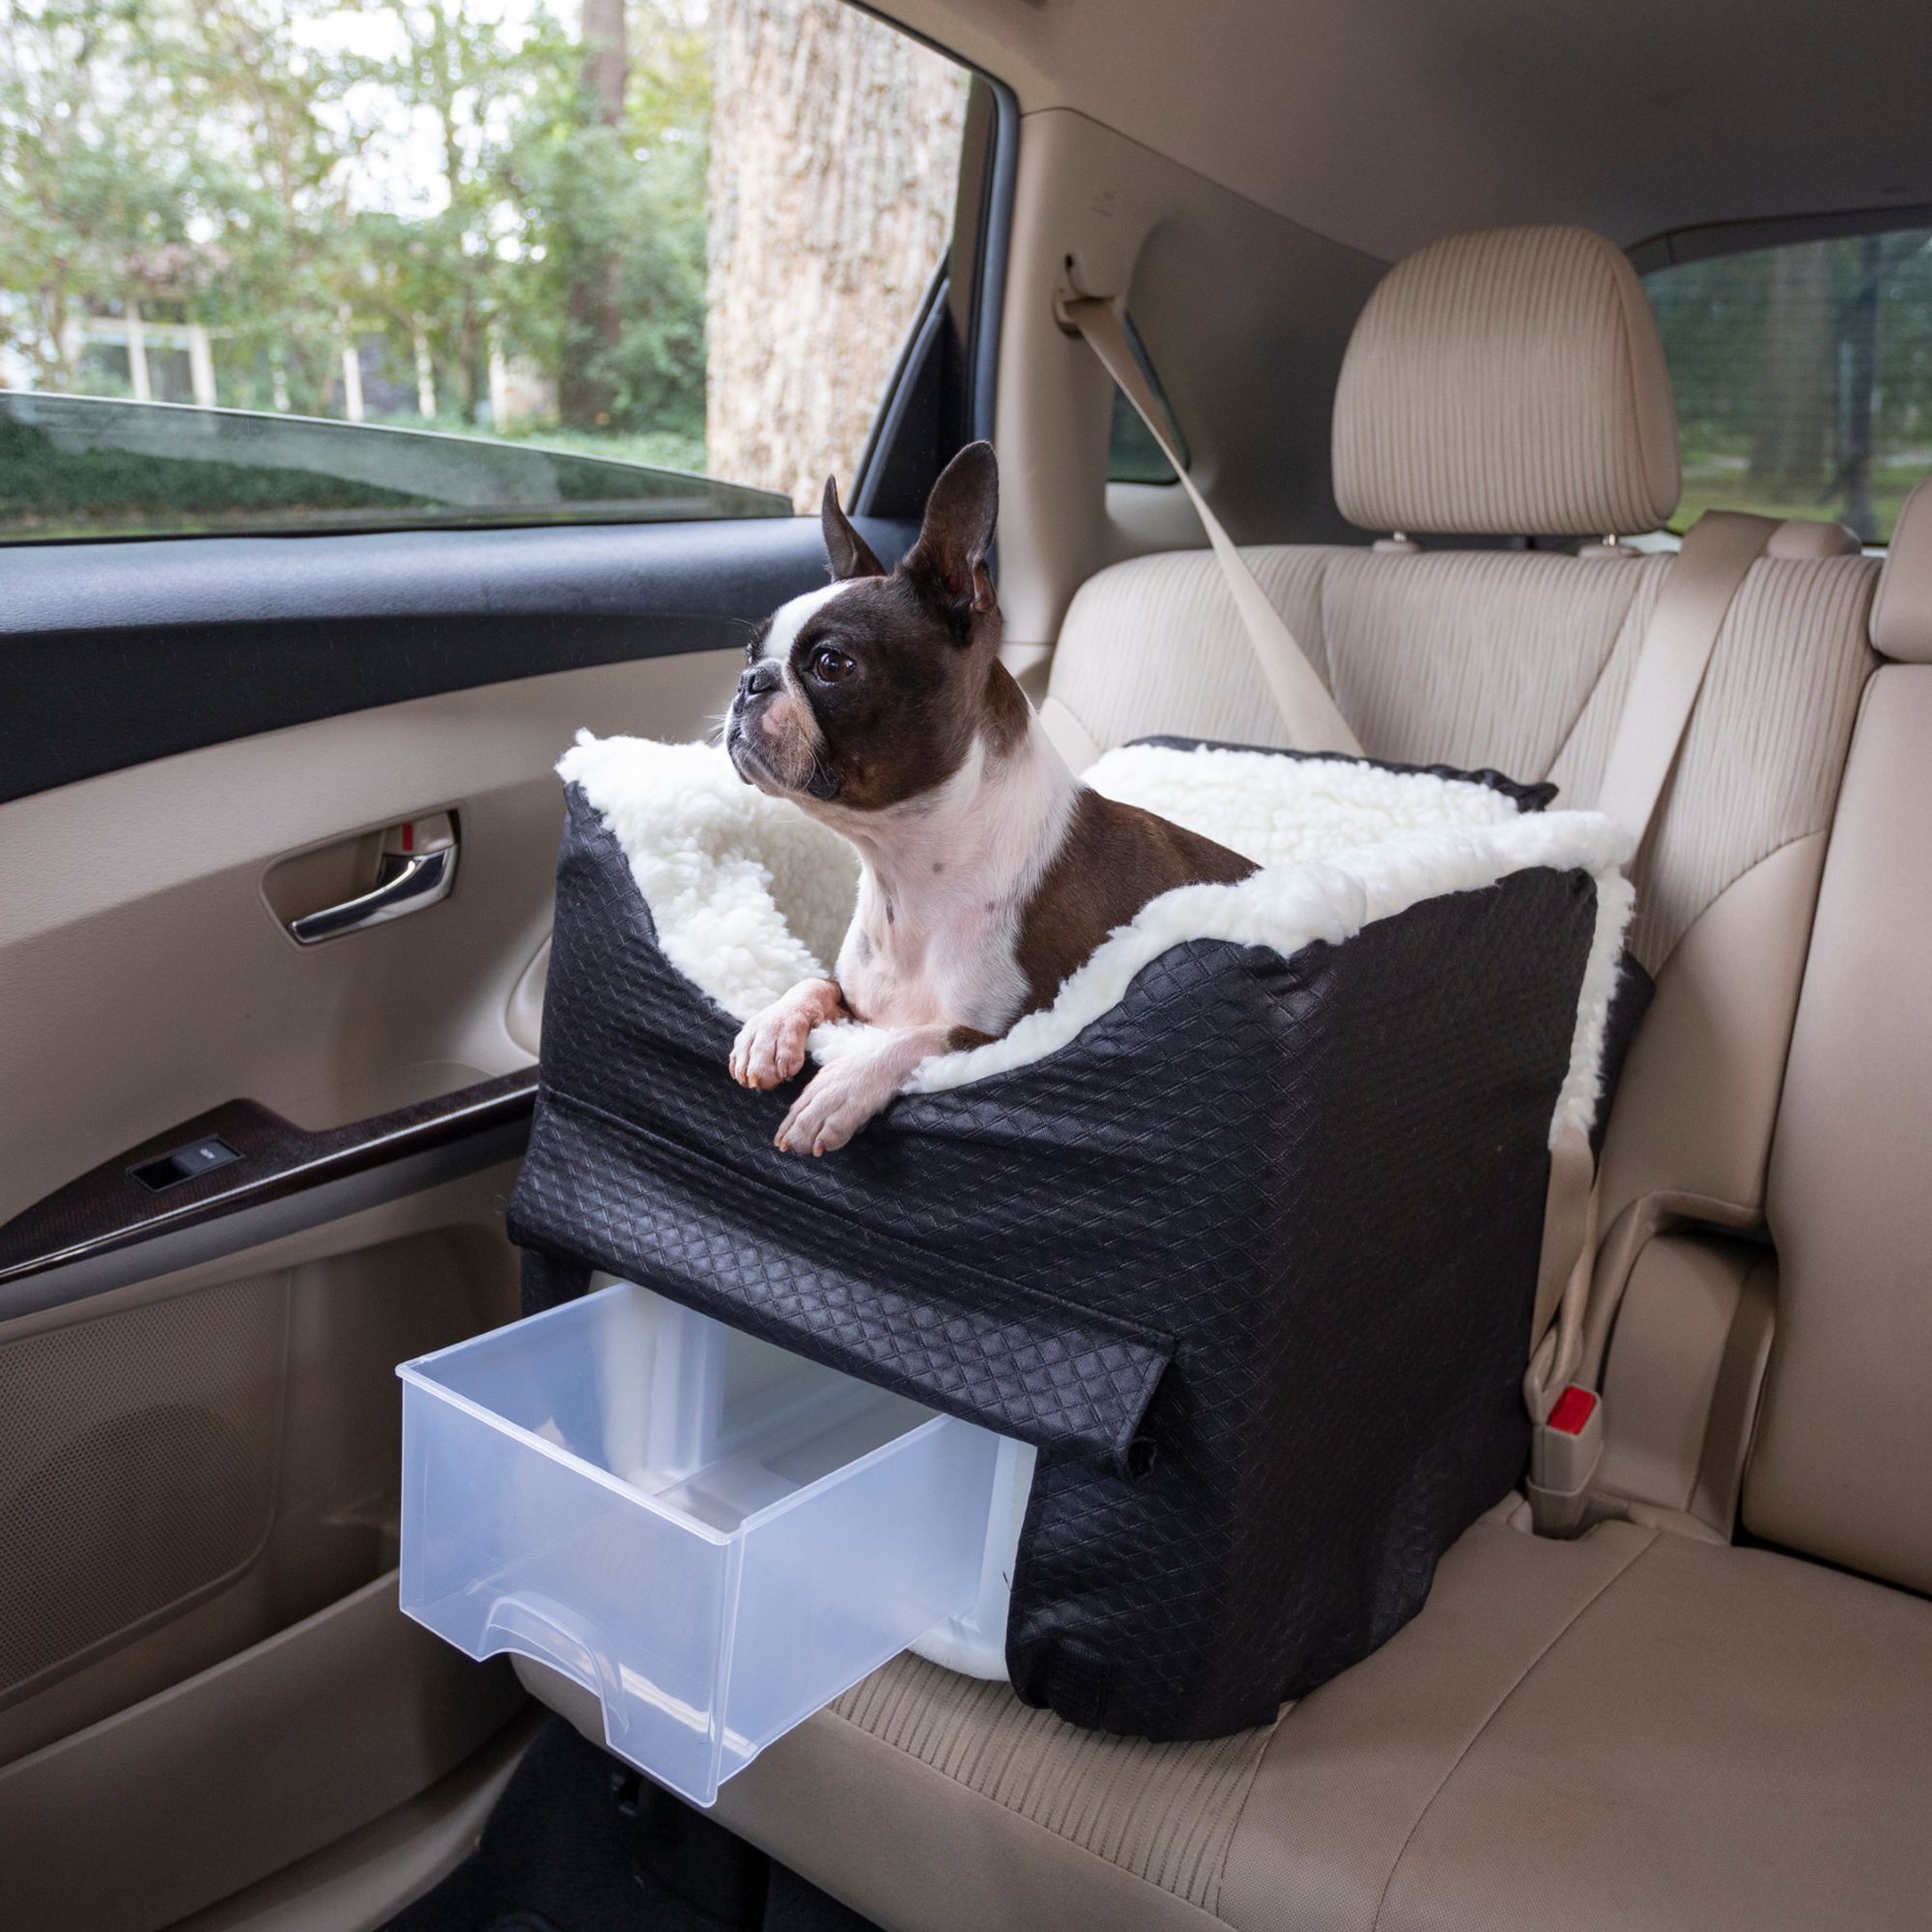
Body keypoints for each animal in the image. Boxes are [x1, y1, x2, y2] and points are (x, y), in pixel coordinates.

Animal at [723, 442, 1252, 1144]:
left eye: (832, 665)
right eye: (749, 652)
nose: (750, 681)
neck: (908, 876)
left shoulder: (1014, 1033)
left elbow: (920, 1037)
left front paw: (840, 1085)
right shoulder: (859, 999)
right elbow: (817, 983)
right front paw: (771, 1024)